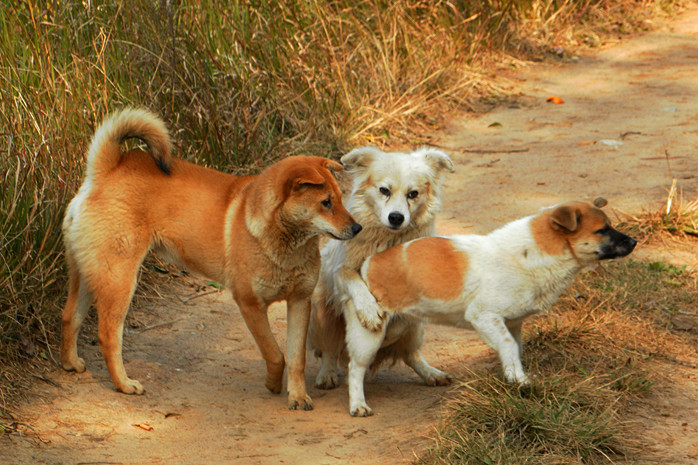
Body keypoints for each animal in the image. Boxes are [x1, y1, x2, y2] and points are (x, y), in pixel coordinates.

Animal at [59, 107, 358, 408]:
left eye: (340, 198)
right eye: (326, 203)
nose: (357, 228)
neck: (285, 241)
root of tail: (106, 170)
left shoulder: (299, 301)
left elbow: (296, 359)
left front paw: (297, 396)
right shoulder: (250, 304)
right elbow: (275, 354)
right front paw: (273, 384)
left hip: (89, 274)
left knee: (70, 316)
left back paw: (71, 363)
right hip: (119, 281)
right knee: (108, 335)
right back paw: (124, 384)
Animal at [308, 145, 454, 392]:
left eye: (413, 194)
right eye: (384, 190)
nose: (396, 217)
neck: (387, 240)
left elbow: (401, 321)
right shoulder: (340, 271)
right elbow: (353, 280)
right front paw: (369, 312)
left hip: (417, 331)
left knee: (412, 354)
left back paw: (431, 374)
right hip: (321, 312)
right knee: (329, 350)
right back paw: (326, 374)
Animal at [342, 198, 636, 416]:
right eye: (602, 230)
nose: (634, 242)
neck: (533, 253)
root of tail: (366, 265)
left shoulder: (513, 323)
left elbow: (515, 350)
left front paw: (516, 377)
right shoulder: (483, 316)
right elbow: (508, 346)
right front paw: (519, 382)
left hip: (409, 327)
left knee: (410, 354)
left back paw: (432, 376)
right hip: (372, 335)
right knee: (355, 369)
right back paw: (358, 405)